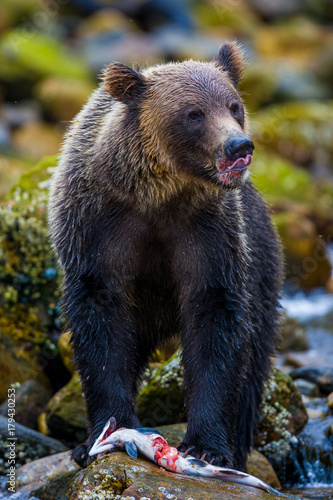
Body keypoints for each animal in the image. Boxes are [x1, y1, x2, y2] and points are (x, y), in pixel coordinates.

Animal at [48, 42, 282, 468]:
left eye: (234, 105)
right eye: (194, 113)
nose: (239, 145)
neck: (159, 194)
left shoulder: (208, 235)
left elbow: (215, 325)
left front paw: (207, 446)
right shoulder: (97, 229)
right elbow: (101, 328)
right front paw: (100, 435)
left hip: (263, 265)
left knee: (254, 363)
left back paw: (240, 447)